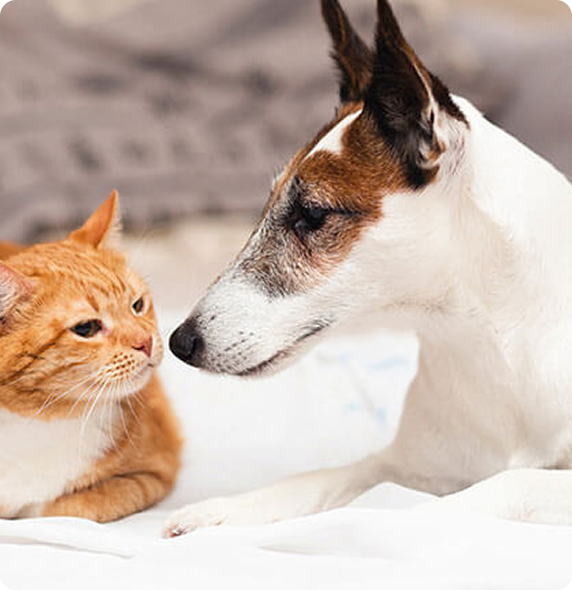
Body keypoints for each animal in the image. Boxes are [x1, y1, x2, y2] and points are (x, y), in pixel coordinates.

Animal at [165, 0, 572, 536]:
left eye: (312, 214)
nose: (179, 342)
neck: (491, 345)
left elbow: (502, 485)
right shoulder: (407, 463)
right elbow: (319, 478)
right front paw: (223, 511)